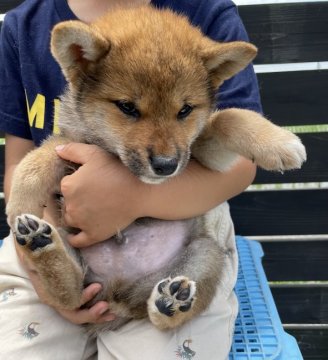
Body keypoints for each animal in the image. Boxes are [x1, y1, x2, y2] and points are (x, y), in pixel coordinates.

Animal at [5, 4, 308, 332]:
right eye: (127, 107)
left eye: (185, 110)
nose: (166, 166)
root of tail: (117, 292)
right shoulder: (71, 143)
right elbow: (40, 156)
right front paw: (19, 200)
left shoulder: (202, 155)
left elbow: (228, 117)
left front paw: (279, 142)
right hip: (74, 248)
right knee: (72, 297)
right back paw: (40, 244)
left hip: (205, 254)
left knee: (156, 315)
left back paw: (170, 303)